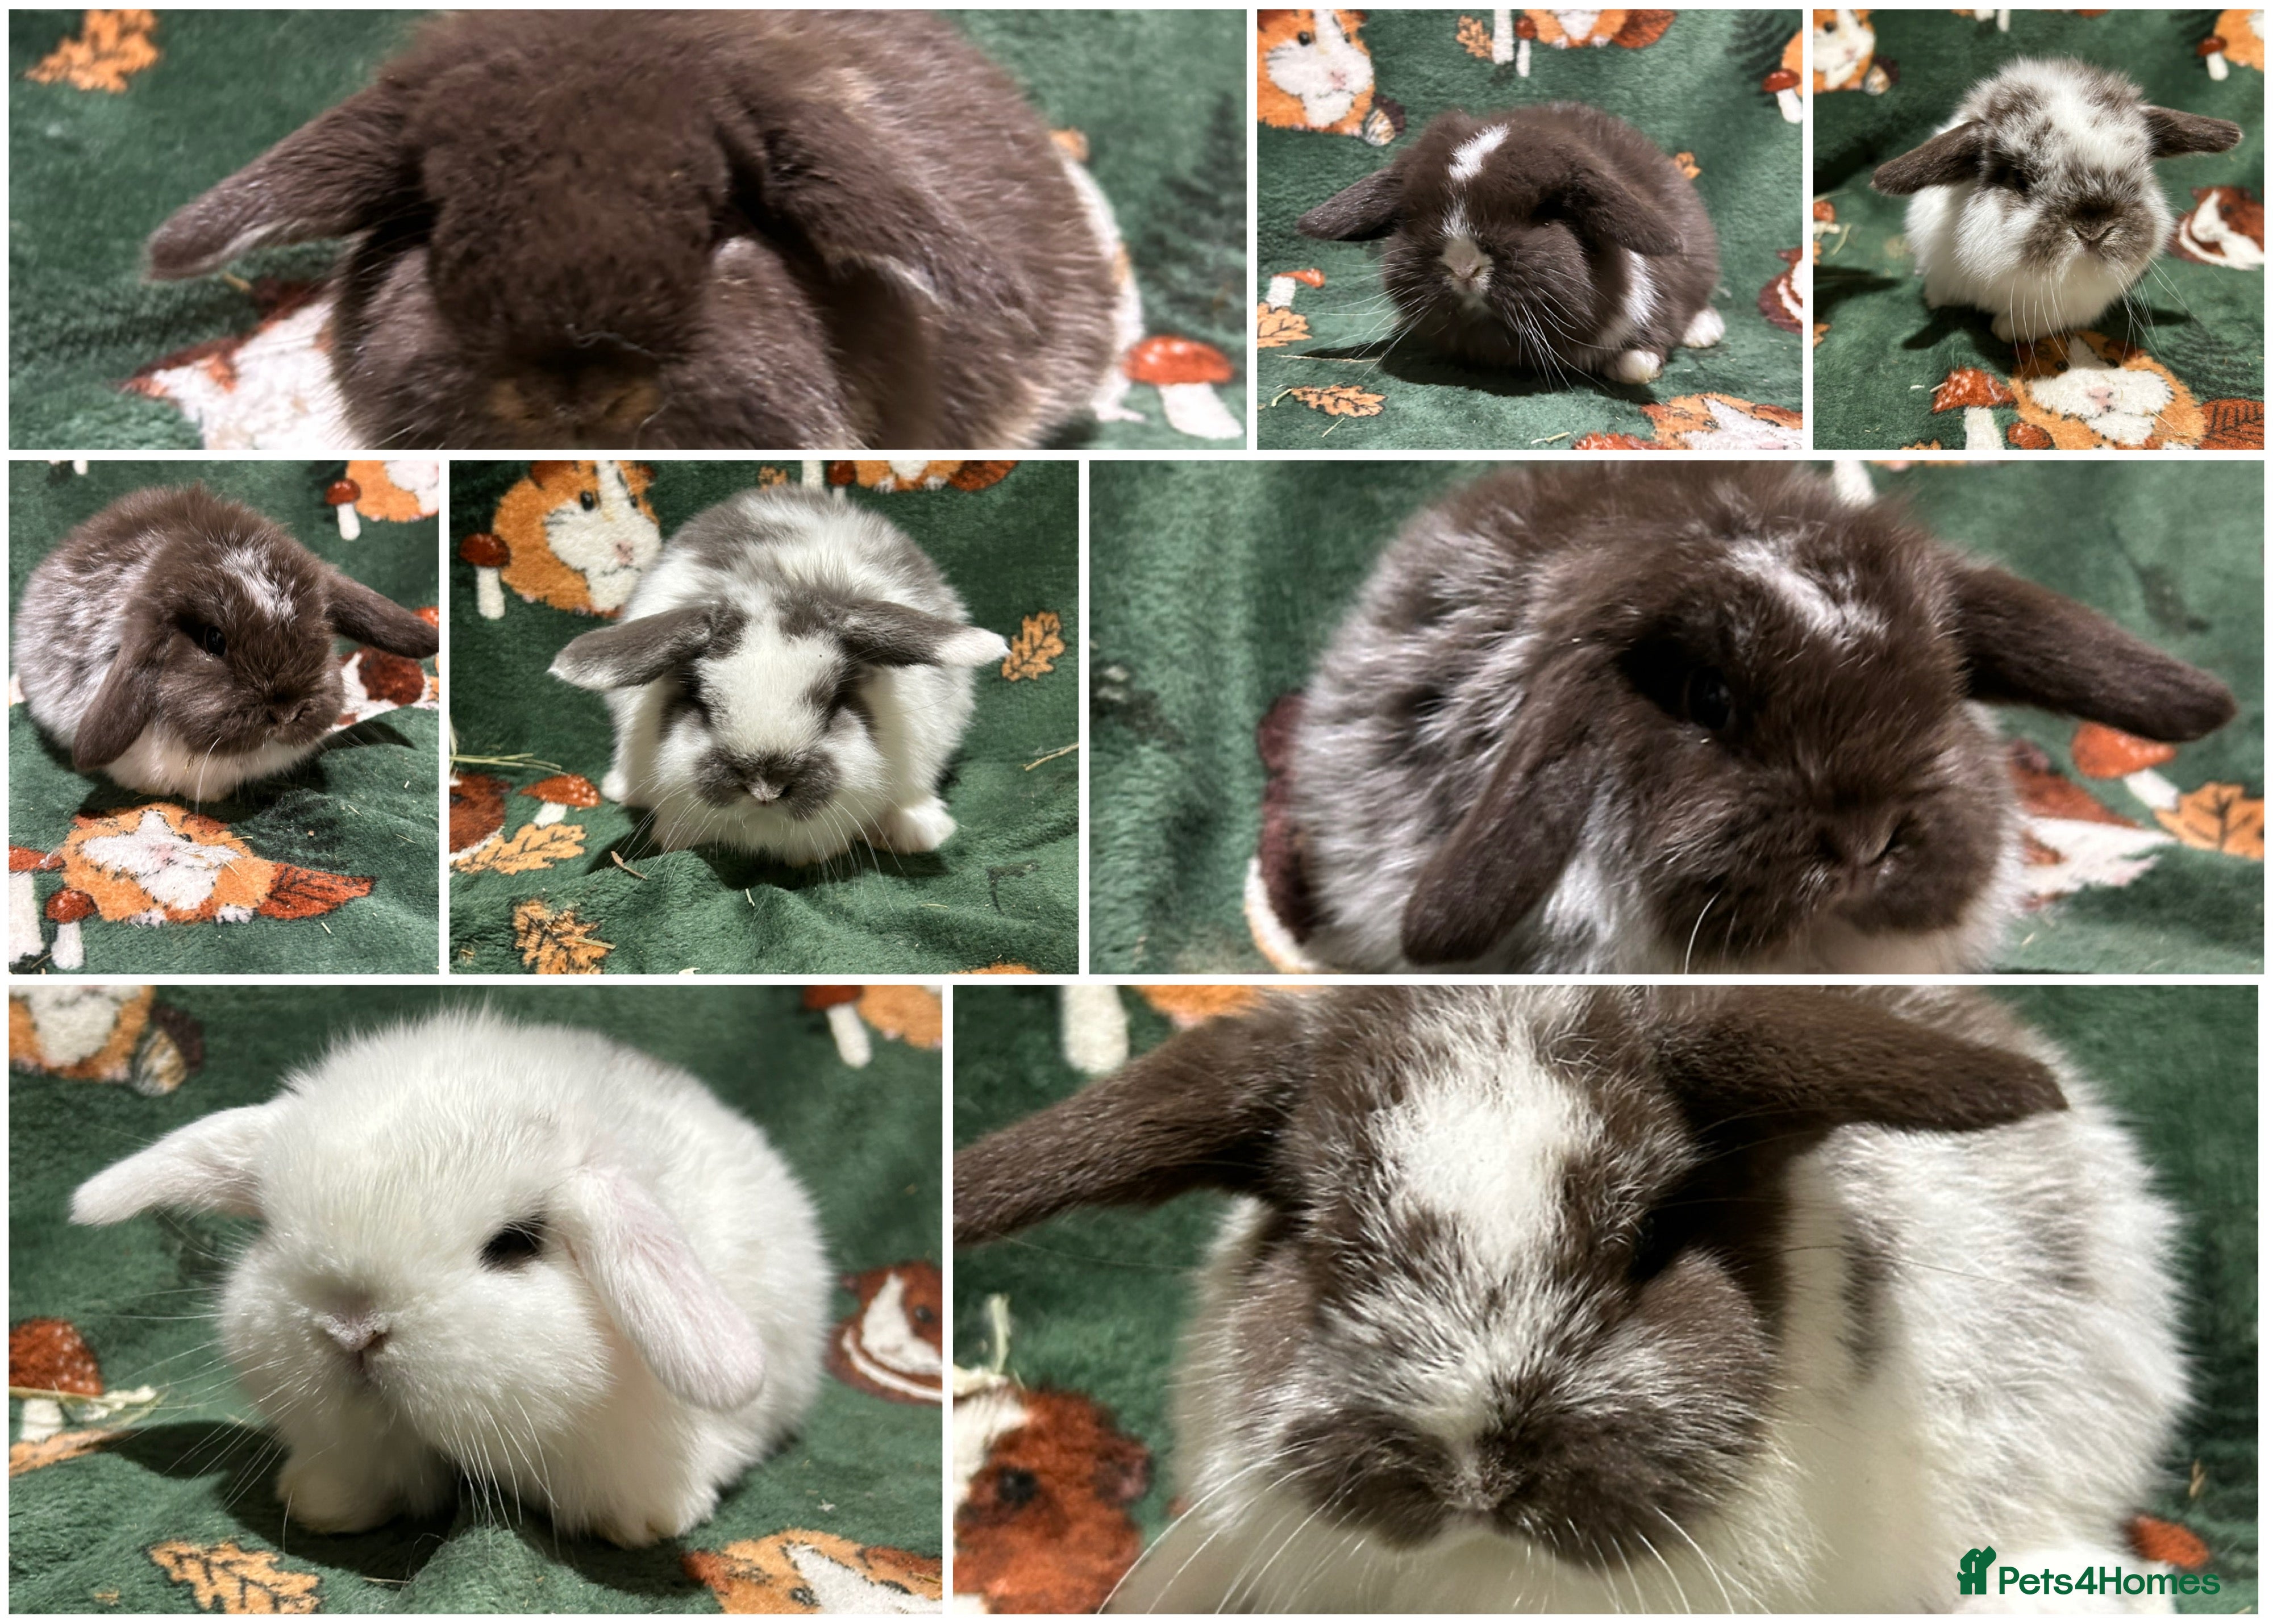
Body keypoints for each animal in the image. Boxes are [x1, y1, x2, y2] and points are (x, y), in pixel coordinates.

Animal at [1298, 104, 1723, 385]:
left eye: (1547, 212)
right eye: (1413, 213)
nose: (1463, 266)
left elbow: (1648, 345)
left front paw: (1633, 368)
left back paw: (1706, 331)